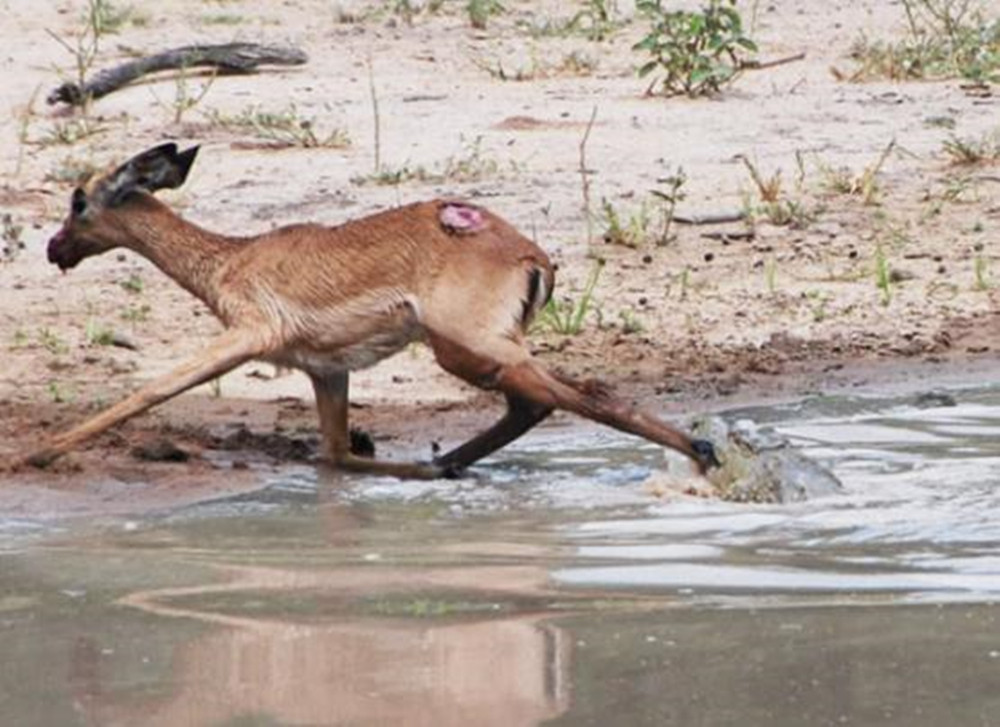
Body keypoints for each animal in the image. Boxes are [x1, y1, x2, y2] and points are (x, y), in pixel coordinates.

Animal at [11, 145, 716, 480]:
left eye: (78, 200)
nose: (54, 249)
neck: (231, 261)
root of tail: (533, 255)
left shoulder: (249, 335)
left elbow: (146, 391)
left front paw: (29, 456)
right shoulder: (327, 369)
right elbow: (335, 455)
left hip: (467, 347)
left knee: (575, 392)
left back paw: (705, 451)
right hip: (475, 351)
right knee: (540, 401)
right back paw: (444, 464)